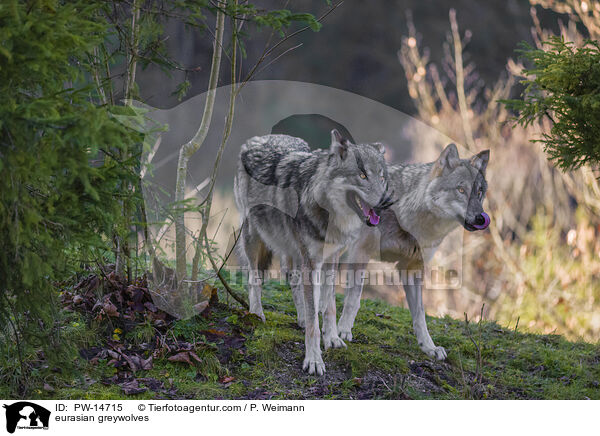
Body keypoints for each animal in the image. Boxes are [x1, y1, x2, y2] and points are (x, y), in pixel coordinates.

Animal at [232, 130, 392, 374]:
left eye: (382, 178)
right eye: (362, 175)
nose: (385, 203)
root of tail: (259, 138)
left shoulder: (331, 259)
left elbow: (329, 307)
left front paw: (333, 338)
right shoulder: (312, 261)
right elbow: (313, 320)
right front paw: (314, 359)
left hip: (293, 250)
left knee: (294, 280)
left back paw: (299, 317)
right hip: (253, 237)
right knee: (254, 278)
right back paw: (257, 313)